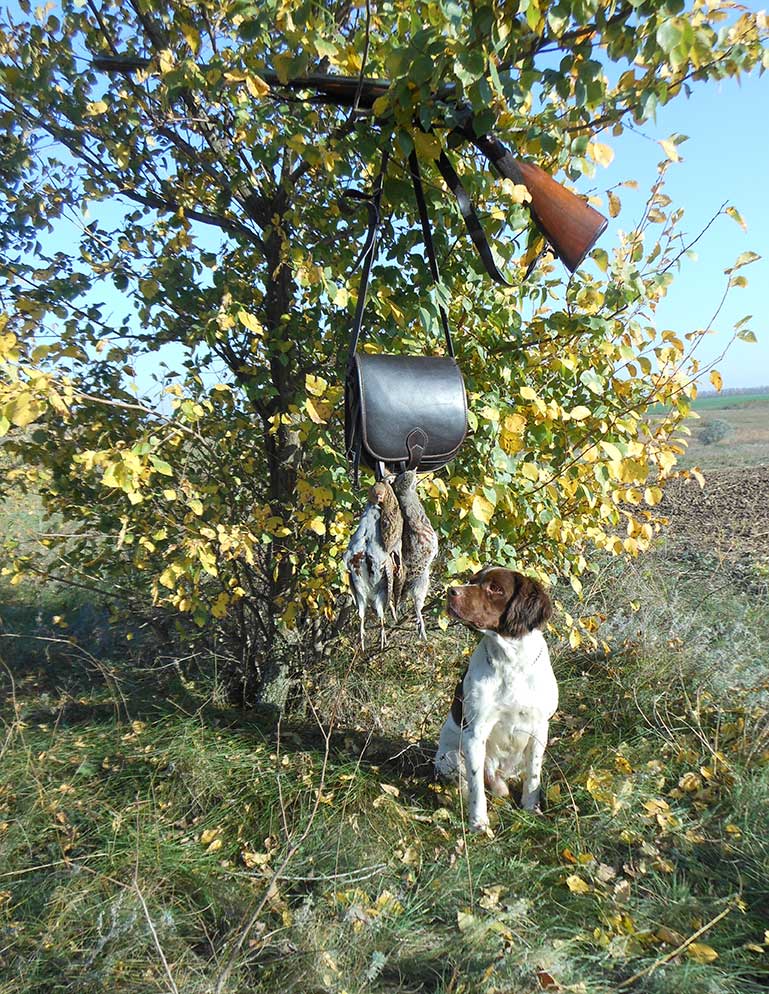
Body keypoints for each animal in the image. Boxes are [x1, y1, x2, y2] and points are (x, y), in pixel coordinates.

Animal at [436, 564, 556, 828]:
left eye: (495, 588)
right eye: (471, 580)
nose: (451, 591)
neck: (512, 663)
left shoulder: (540, 728)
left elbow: (533, 777)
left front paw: (532, 809)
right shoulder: (475, 732)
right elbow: (476, 785)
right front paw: (478, 823)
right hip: (449, 757)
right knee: (469, 782)